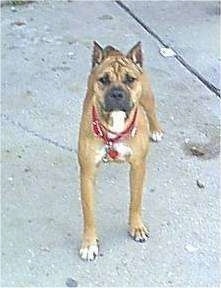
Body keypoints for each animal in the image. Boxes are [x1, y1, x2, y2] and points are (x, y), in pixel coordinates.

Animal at [77, 41, 162, 260]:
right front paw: (89, 243)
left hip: (147, 96)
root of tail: (114, 51)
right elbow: (88, 213)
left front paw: (136, 226)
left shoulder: (138, 167)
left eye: (130, 79)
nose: (116, 93)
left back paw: (156, 129)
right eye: (103, 80)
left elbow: (135, 200)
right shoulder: (87, 173)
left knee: (152, 112)